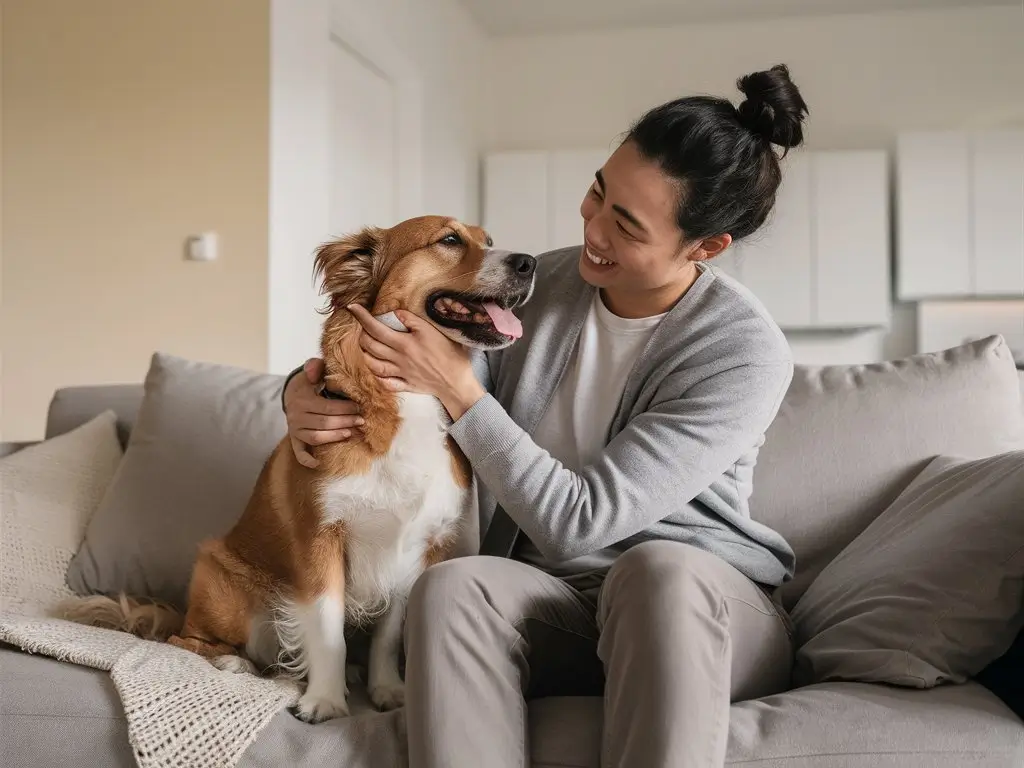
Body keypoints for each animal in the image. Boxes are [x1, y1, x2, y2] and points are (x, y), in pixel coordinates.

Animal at [61, 215, 536, 720]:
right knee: (185, 639)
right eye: (449, 240)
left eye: (487, 240)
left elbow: (389, 635)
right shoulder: (320, 539)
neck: (407, 398)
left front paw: (387, 689)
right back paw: (233, 661)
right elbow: (327, 631)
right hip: (222, 586)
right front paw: (324, 699)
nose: (530, 263)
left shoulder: (419, 549)